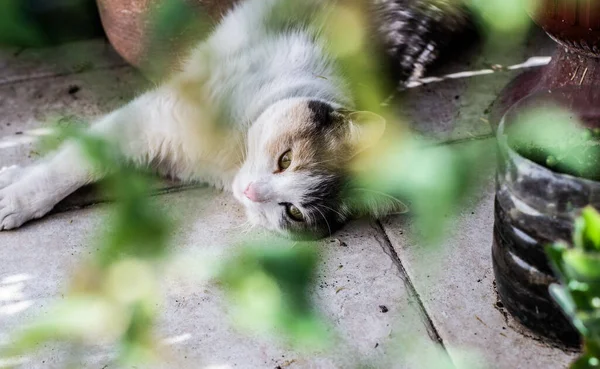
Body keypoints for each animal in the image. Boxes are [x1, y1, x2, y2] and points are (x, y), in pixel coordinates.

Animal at [0, 0, 468, 239]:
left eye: (294, 213)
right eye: (285, 158)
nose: (251, 191)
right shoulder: (150, 118)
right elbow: (72, 166)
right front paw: (17, 198)